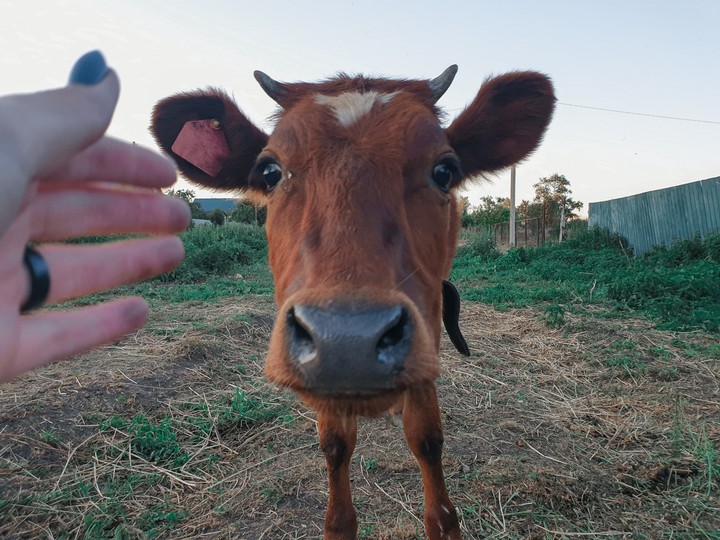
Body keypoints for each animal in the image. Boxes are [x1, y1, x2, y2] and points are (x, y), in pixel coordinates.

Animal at [151, 65, 555, 539]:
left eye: (444, 170)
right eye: (269, 172)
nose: (348, 339)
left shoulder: (426, 331)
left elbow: (427, 438)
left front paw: (442, 519)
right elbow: (335, 446)